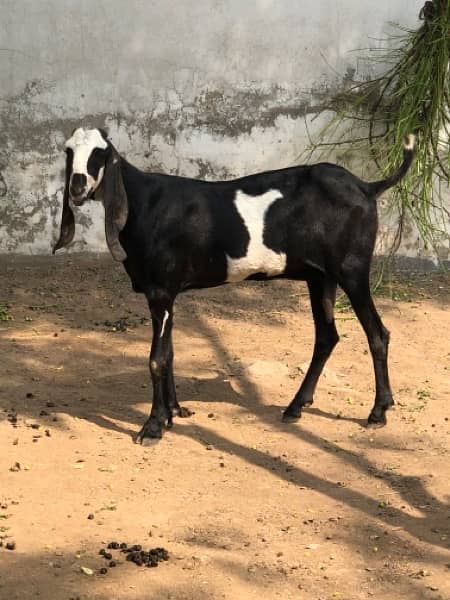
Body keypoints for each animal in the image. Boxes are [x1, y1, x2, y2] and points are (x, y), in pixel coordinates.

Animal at [53, 127, 414, 446]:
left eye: (100, 154)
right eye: (68, 151)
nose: (77, 187)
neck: (145, 203)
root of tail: (367, 186)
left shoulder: (160, 291)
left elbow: (156, 359)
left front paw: (153, 427)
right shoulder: (168, 294)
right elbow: (169, 354)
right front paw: (174, 412)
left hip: (351, 269)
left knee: (377, 334)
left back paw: (378, 412)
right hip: (320, 277)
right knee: (327, 336)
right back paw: (296, 406)